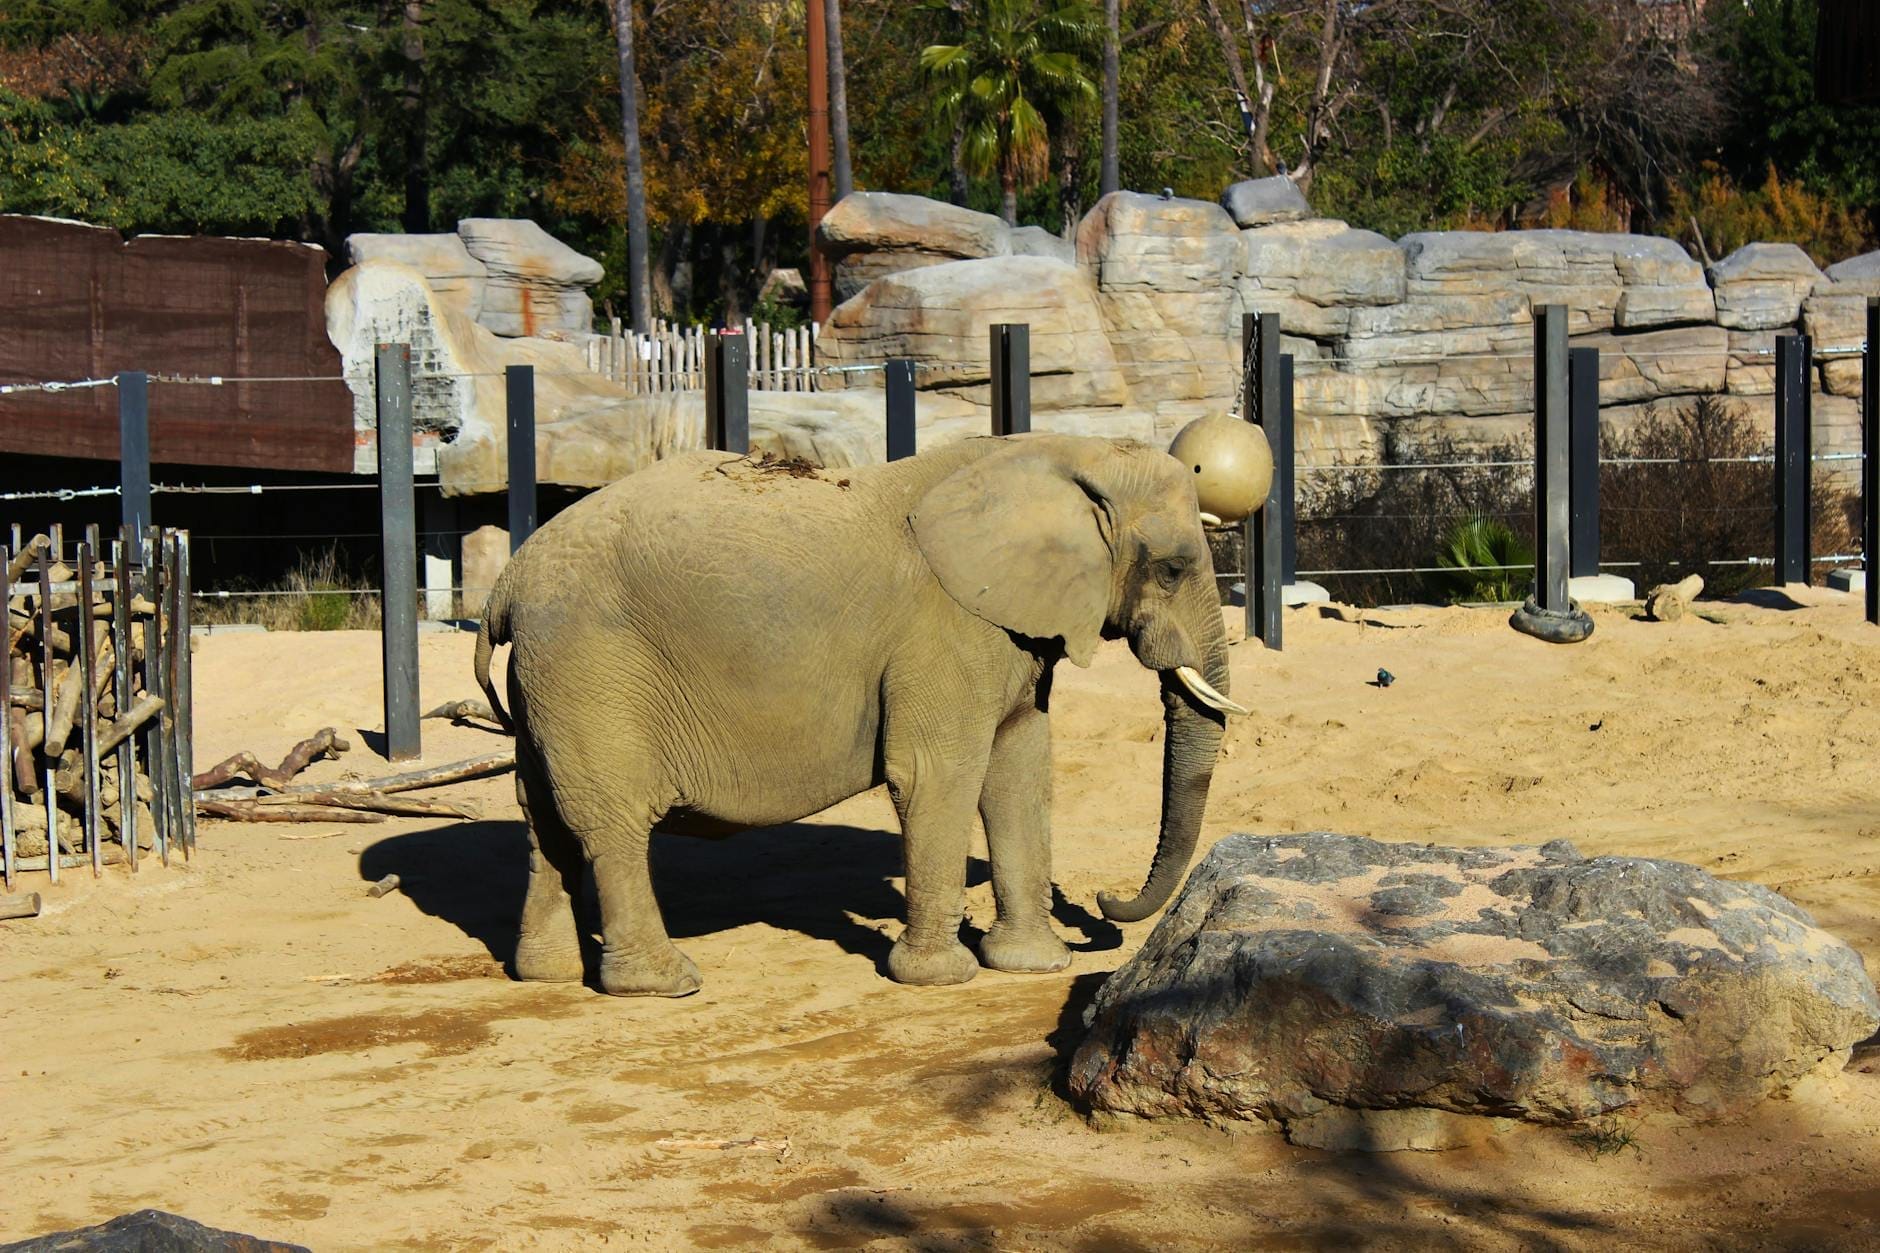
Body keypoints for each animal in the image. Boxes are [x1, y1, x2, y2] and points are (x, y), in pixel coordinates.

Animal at [473, 432, 1248, 997]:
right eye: (1173, 569)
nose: (1104, 896)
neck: (1063, 451)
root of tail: (504, 584)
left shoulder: (1011, 631)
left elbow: (1020, 769)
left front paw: (1033, 965)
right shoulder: (945, 629)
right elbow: (938, 775)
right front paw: (941, 979)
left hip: (546, 678)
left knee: (543, 816)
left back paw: (549, 974)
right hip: (589, 664)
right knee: (610, 820)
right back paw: (664, 984)